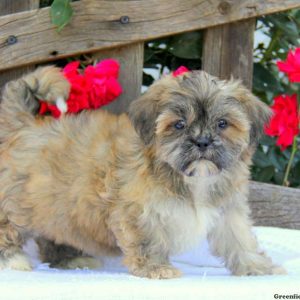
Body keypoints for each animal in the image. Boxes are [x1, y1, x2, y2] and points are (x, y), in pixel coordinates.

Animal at [0, 67, 284, 278]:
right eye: (179, 125)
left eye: (222, 123)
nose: (202, 142)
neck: (191, 178)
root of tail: (24, 125)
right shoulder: (139, 211)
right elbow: (149, 239)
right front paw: (156, 268)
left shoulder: (228, 209)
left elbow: (239, 239)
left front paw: (257, 267)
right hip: (18, 204)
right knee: (9, 228)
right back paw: (14, 260)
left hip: (58, 207)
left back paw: (72, 260)